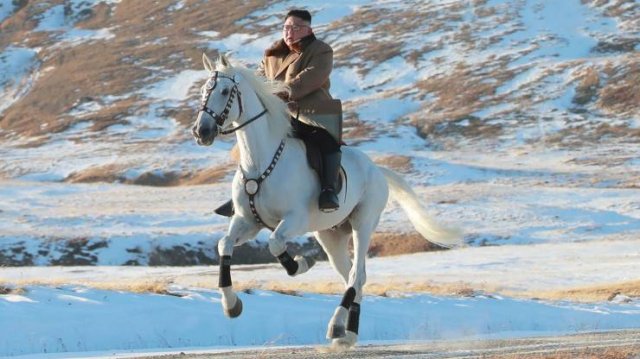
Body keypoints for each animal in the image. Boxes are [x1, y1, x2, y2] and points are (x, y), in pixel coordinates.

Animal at [192, 54, 462, 348]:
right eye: (204, 91)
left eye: (225, 91)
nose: (201, 131)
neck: (260, 162)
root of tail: (377, 169)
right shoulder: (247, 221)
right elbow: (224, 245)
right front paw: (231, 305)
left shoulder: (295, 220)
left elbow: (275, 243)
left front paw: (301, 263)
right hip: (330, 236)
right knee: (353, 278)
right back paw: (348, 333)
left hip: (362, 224)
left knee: (355, 275)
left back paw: (336, 326)